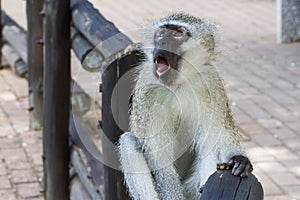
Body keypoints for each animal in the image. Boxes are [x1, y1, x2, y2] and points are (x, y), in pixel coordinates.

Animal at [118, 11, 253, 199]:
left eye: (178, 34)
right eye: (160, 34)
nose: (163, 43)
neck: (178, 85)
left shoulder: (212, 85)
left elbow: (224, 135)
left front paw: (240, 160)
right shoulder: (147, 94)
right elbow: (162, 164)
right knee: (128, 142)